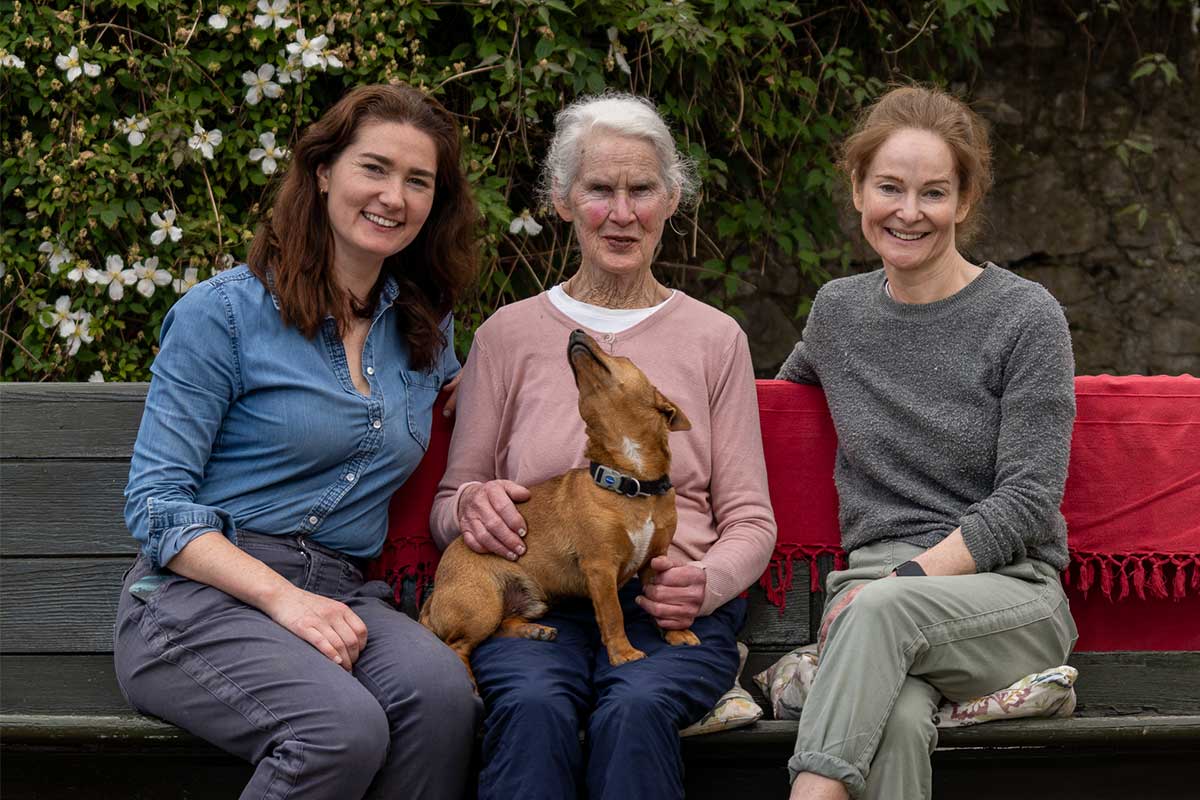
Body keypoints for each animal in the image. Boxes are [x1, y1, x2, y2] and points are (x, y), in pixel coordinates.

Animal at [427, 328, 700, 686]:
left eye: (624, 358)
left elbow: (658, 604)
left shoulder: (655, 561)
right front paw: (623, 653)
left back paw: (533, 631)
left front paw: (676, 633)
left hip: (528, 602)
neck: (631, 483)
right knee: (457, 646)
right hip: (481, 605)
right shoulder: (601, 567)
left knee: (498, 629)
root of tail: (433, 598)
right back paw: (469, 679)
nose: (577, 332)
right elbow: (613, 614)